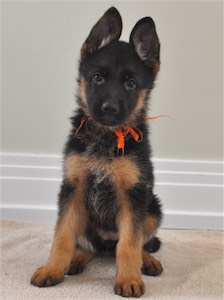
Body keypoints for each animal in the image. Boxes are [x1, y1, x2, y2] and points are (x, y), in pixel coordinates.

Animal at [31, 7, 163, 298]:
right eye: (97, 77)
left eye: (131, 83)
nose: (110, 109)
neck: (105, 136)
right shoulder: (73, 189)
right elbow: (62, 237)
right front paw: (52, 268)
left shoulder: (133, 195)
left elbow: (129, 244)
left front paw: (128, 279)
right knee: (88, 246)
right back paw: (76, 259)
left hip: (153, 208)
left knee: (133, 243)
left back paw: (146, 261)